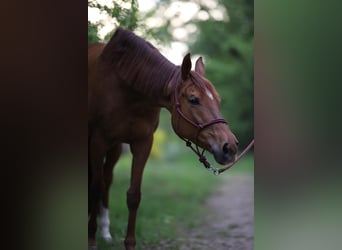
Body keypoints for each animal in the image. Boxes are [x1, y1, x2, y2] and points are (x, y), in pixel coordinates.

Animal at [88, 27, 238, 250]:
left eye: (218, 100)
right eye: (193, 99)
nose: (230, 147)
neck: (126, 90)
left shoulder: (143, 143)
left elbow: (133, 196)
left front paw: (129, 244)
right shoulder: (98, 142)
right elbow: (95, 190)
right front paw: (91, 241)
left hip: (115, 149)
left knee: (107, 181)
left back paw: (105, 232)